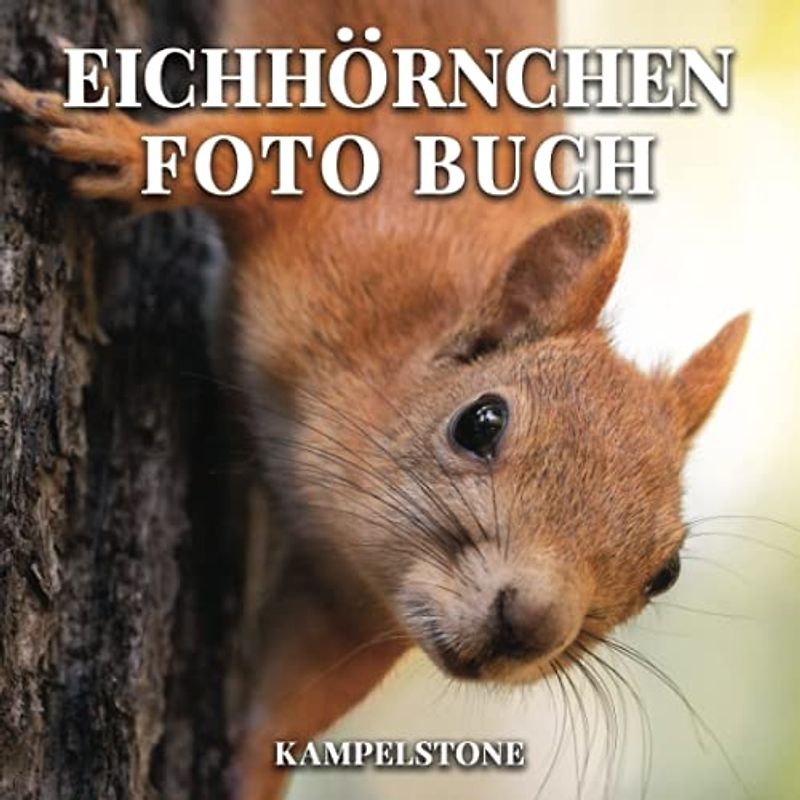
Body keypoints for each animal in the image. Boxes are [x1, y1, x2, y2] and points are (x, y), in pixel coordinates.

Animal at [0, 2, 748, 798]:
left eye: (665, 573)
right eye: (480, 423)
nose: (530, 625)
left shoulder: (347, 609)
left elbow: (290, 707)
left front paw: (250, 775)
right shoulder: (345, 189)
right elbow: (225, 154)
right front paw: (117, 145)